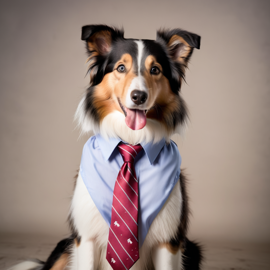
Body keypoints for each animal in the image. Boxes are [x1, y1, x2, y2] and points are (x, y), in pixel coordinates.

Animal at [9, 25, 201, 270]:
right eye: (121, 67)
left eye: (155, 69)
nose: (139, 96)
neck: (131, 141)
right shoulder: (85, 237)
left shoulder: (169, 240)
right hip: (64, 248)